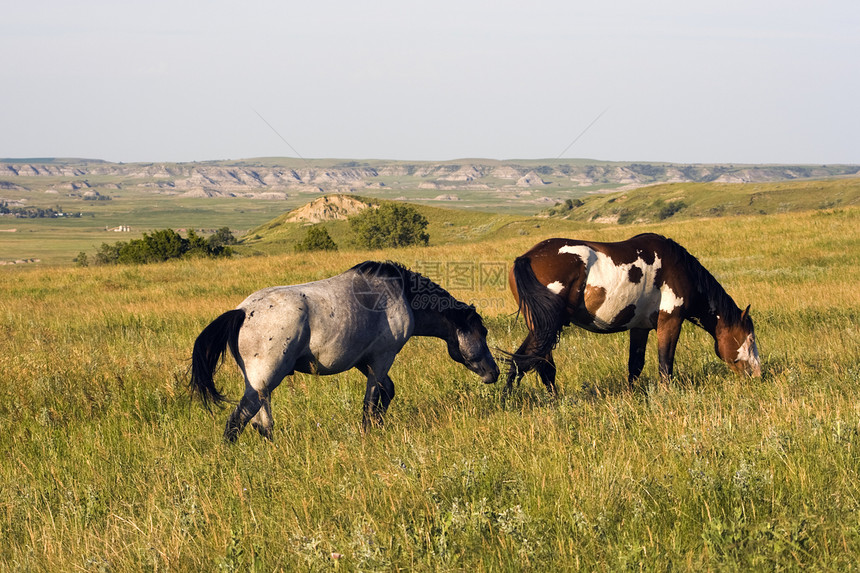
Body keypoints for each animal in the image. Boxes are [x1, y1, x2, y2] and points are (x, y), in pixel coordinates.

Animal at [188, 262, 498, 440]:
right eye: (482, 332)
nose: (493, 372)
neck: (399, 294)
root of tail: (241, 312)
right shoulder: (382, 358)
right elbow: (372, 400)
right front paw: (369, 432)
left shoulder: (364, 360)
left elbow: (386, 392)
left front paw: (378, 427)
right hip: (263, 383)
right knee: (237, 422)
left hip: (260, 387)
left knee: (262, 425)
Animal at [508, 232, 764, 394]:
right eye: (750, 339)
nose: (758, 375)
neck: (679, 268)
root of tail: (527, 257)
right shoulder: (670, 321)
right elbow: (665, 363)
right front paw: (666, 394)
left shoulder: (640, 328)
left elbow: (635, 365)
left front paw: (631, 396)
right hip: (545, 328)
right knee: (534, 362)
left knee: (531, 361)